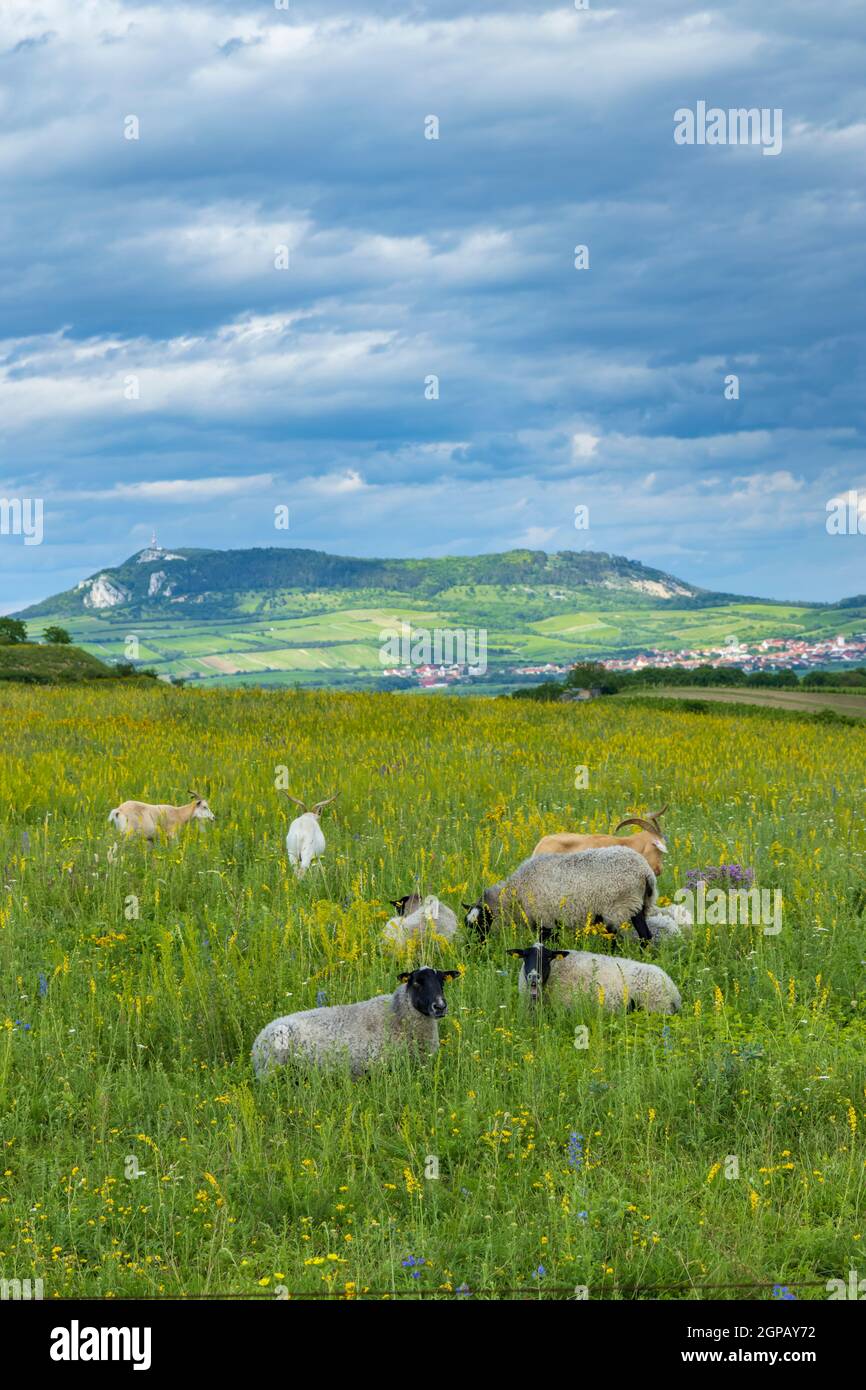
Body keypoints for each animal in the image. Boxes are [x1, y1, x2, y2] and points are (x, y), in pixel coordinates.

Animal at [250, 961, 461, 1078]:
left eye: (442, 981)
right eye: (416, 982)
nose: (440, 1006)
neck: (397, 1015)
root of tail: (259, 1037)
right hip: (273, 1066)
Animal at [464, 845, 661, 945]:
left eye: (482, 923)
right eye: (468, 925)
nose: (474, 947)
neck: (515, 894)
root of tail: (646, 872)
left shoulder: (545, 920)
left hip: (620, 906)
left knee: (627, 936)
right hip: (639, 904)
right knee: (644, 935)